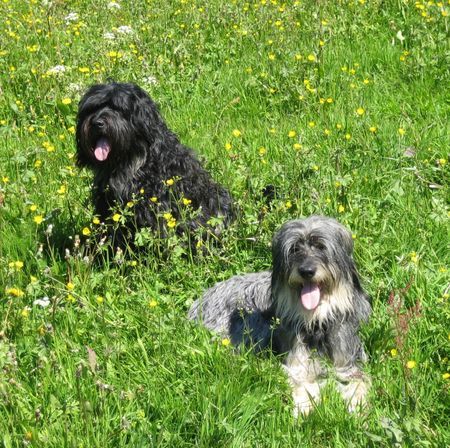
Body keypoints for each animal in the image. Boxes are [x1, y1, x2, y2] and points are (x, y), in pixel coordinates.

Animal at [188, 215, 370, 414]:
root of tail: (198, 303)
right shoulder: (296, 363)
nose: (306, 271)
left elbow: (361, 380)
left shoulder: (348, 362)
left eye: (321, 246)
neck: (315, 321)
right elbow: (300, 381)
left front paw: (357, 406)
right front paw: (305, 407)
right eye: (295, 249)